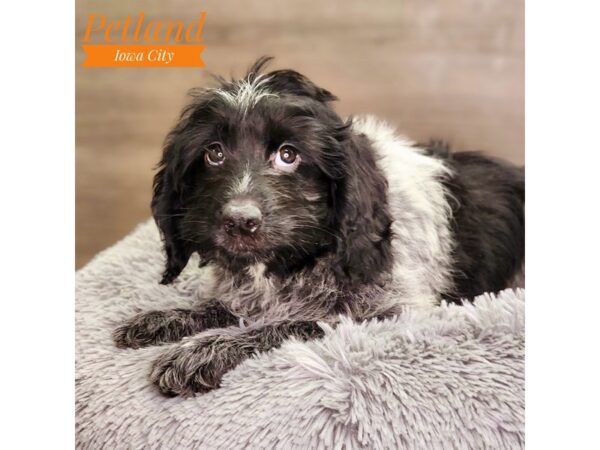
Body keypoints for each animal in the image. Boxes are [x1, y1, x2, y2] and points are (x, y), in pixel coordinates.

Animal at [113, 57, 524, 398]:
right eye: (214, 153)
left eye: (288, 155)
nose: (239, 221)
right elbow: (223, 305)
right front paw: (164, 318)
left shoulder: (387, 314)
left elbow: (289, 325)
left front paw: (205, 351)